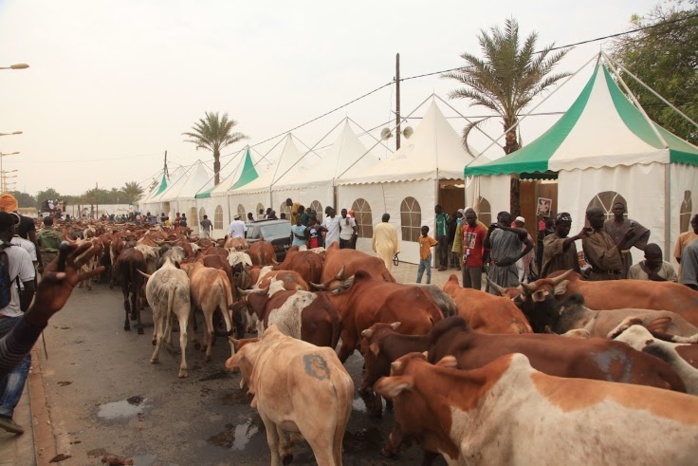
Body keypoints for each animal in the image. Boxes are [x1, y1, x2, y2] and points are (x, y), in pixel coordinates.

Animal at [226, 324, 354, 466]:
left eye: (241, 365)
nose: (244, 387)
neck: (261, 354)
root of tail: (333, 373)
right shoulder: (277, 410)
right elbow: (281, 430)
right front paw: (285, 450)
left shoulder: (263, 411)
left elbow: (272, 441)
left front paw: (276, 461)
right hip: (338, 434)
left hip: (319, 441)